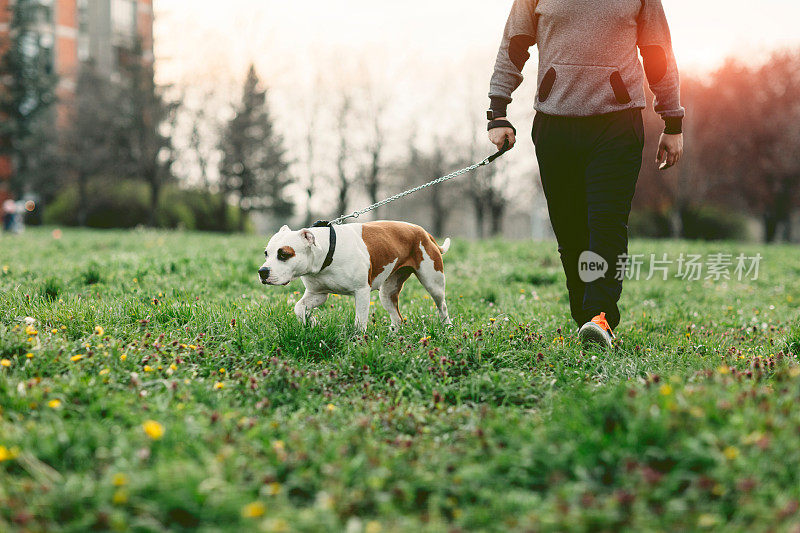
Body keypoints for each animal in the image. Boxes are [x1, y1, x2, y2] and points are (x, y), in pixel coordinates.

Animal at [260, 219, 454, 328]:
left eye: (284, 254)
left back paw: (447, 327)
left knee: (442, 306)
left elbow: (360, 322)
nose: (262, 271)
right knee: (398, 318)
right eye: (266, 253)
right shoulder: (317, 294)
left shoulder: (361, 292)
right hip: (387, 292)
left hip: (433, 283)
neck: (328, 251)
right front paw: (312, 323)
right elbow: (298, 308)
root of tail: (423, 232)